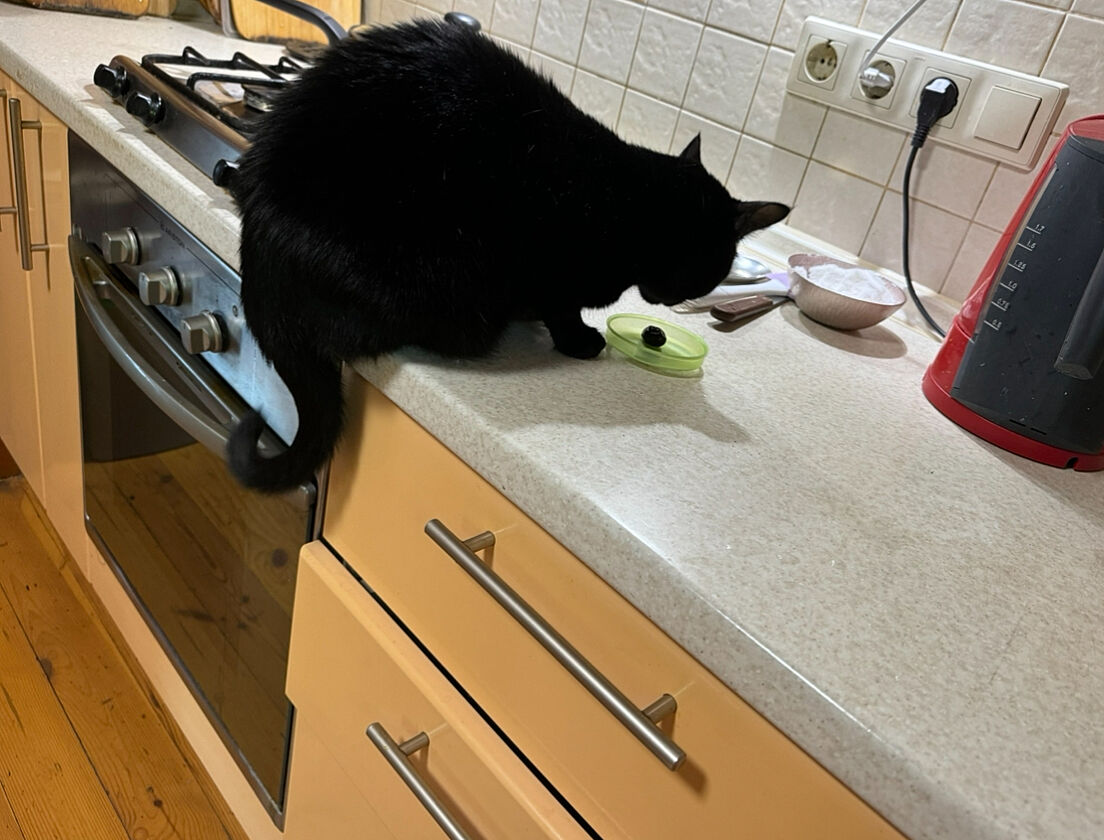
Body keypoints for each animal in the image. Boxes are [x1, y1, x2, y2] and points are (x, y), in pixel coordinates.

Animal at [227, 18, 790, 492]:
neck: (628, 203)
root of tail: (257, 263)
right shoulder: (555, 270)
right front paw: (578, 341)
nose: (666, 301)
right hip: (438, 276)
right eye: (710, 274)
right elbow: (563, 308)